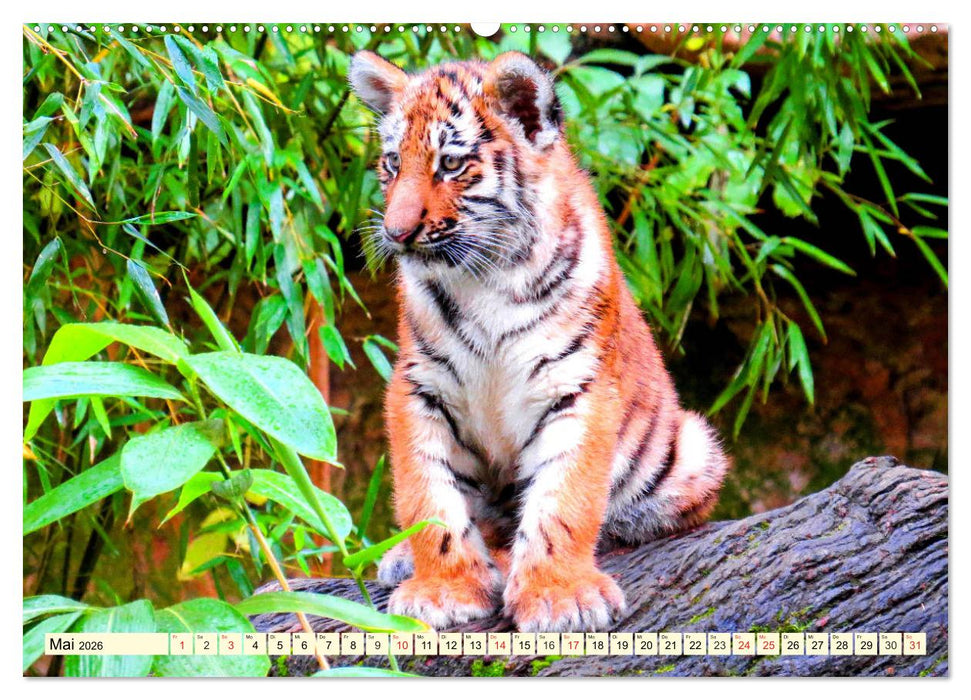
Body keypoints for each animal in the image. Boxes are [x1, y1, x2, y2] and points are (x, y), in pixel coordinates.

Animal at [348, 50, 730, 632]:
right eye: (392, 163)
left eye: (451, 165)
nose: (396, 233)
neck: (483, 276)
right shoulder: (420, 388)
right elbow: (429, 497)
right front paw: (444, 588)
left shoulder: (578, 386)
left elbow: (564, 499)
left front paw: (559, 596)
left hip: (692, 450)